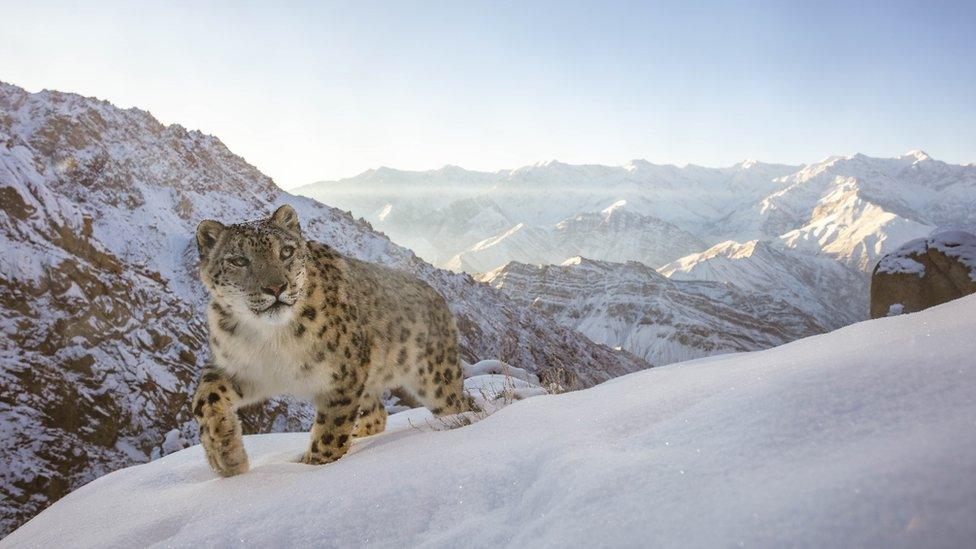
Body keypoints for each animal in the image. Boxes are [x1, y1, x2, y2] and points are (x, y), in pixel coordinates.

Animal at [192, 206, 472, 476]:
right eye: (238, 260)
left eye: (286, 251)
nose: (276, 288)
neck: (273, 340)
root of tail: (438, 296)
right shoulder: (240, 367)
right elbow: (205, 399)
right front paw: (227, 456)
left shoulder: (343, 376)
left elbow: (331, 430)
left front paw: (313, 465)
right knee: (377, 414)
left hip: (435, 378)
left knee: (457, 404)